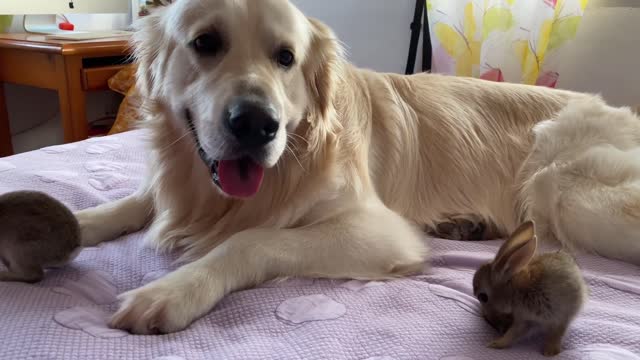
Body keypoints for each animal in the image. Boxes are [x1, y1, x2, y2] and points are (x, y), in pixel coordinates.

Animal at [74, 0, 640, 334]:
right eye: (206, 42)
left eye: (286, 57)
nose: (258, 125)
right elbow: (130, 203)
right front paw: (75, 222)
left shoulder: (378, 229)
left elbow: (252, 239)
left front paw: (173, 290)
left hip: (564, 190)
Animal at [472, 221, 588, 356]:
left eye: (483, 297)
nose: (486, 317)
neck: (517, 290)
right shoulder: (525, 320)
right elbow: (512, 334)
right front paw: (497, 343)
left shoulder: (561, 317)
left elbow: (557, 334)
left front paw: (550, 352)